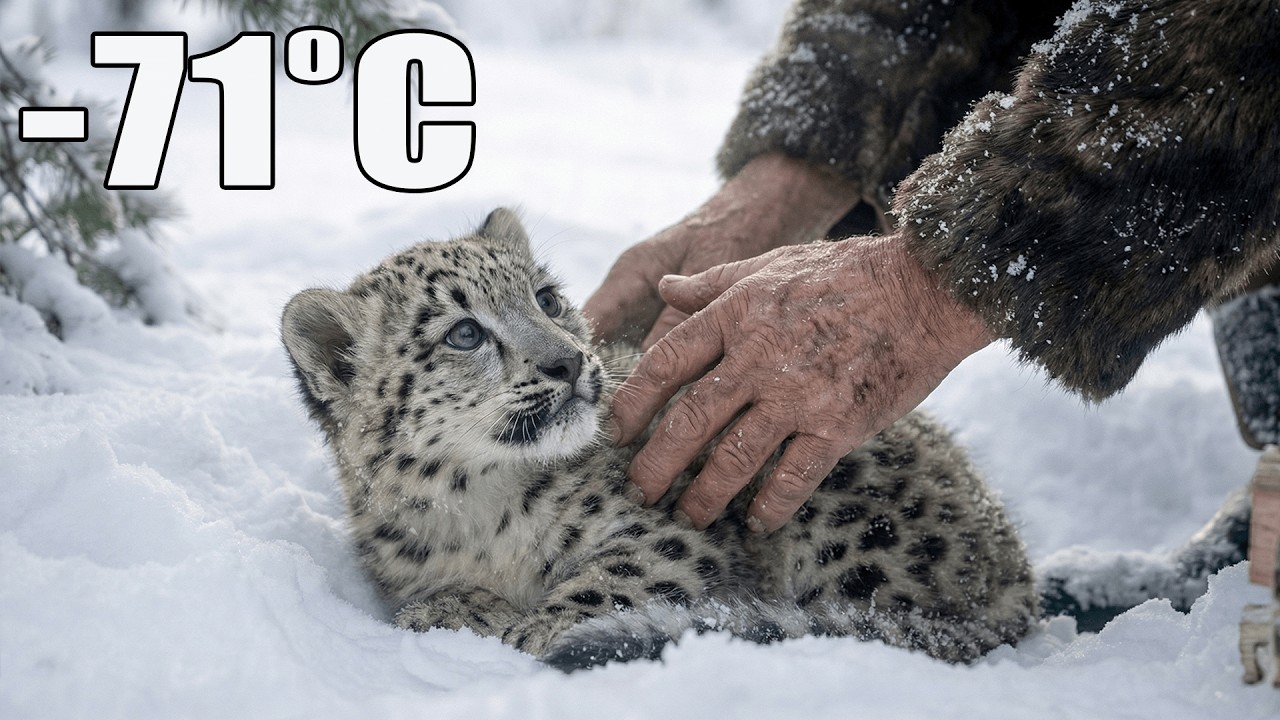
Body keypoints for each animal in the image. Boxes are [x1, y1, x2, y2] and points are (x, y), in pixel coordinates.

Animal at [280, 208, 1038, 671]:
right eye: (464, 333)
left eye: (546, 299)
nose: (566, 361)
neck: (482, 507)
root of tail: (1011, 561)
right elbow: (428, 601)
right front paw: (464, 607)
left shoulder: (671, 531)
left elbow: (619, 576)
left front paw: (534, 628)